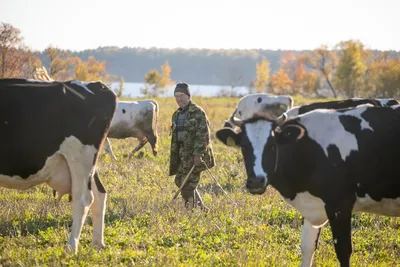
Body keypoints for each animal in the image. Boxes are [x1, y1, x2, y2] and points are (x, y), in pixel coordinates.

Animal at [0, 78, 118, 254]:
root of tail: (95, 85)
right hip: (89, 162)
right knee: (99, 194)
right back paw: (97, 243)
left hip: (80, 157)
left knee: (83, 199)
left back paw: (71, 247)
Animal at [217, 104, 400, 267]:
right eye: (244, 146)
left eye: (273, 145)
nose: (256, 181)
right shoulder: (313, 205)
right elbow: (307, 247)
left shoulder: (340, 204)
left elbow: (343, 251)